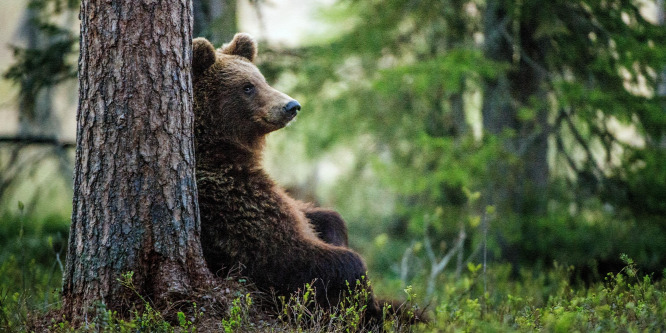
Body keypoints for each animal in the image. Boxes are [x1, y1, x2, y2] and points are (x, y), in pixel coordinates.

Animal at [191, 33, 378, 324]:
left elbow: (322, 216)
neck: (220, 149)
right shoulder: (232, 203)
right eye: (247, 87)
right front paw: (366, 306)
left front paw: (334, 229)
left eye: (262, 79)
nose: (292, 106)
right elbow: (287, 254)